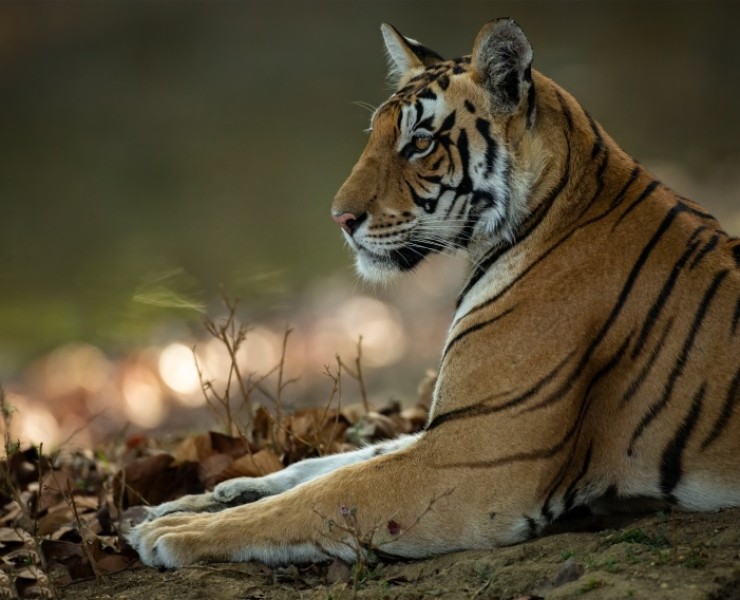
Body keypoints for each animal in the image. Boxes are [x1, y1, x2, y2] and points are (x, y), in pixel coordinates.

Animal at [127, 19, 740, 568]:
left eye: (419, 143)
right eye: (374, 135)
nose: (339, 218)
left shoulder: (472, 458)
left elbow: (327, 494)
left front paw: (176, 532)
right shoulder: (451, 430)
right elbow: (338, 461)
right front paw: (190, 500)